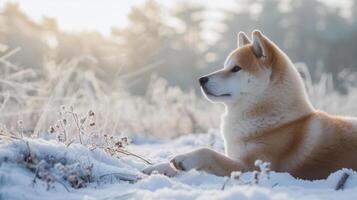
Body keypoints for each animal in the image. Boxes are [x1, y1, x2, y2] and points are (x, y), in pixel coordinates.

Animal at [143, 30, 356, 180]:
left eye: (236, 69)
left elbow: (208, 152)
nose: (201, 79)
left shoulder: (254, 167)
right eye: (225, 66)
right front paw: (158, 167)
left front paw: (185, 159)